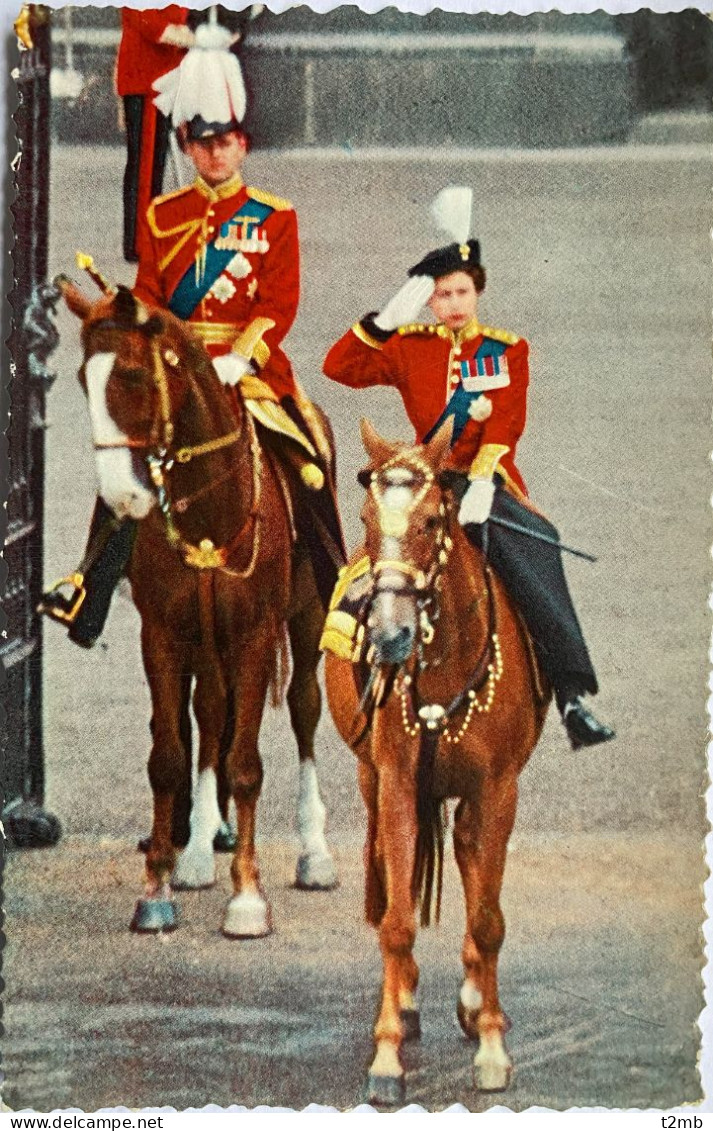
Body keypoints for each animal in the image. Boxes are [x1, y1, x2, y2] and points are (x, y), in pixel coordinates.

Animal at [59, 282, 337, 936]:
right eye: (83, 378)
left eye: (133, 375)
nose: (123, 496)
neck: (208, 507)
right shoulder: (163, 634)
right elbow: (168, 757)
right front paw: (157, 889)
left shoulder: (255, 634)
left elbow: (247, 764)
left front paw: (248, 899)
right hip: (206, 641)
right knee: (210, 714)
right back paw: (198, 851)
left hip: (305, 618)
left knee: (304, 707)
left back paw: (314, 851)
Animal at [325, 420, 552, 1099]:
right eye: (366, 520)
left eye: (430, 520)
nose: (388, 635)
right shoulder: (398, 782)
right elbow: (397, 921)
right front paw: (387, 1055)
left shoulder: (497, 789)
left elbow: (488, 918)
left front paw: (493, 1046)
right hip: (372, 779)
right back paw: (404, 1000)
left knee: (472, 864)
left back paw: (475, 1000)